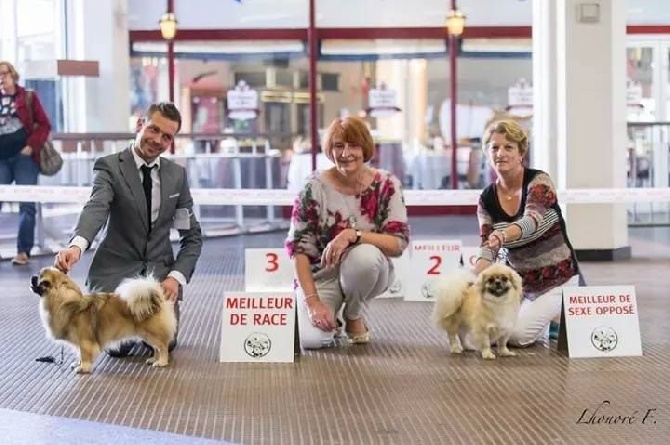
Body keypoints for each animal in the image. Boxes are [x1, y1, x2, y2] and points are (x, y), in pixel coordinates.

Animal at [30, 268, 177, 372]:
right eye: (37, 275)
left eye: (43, 281)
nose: (32, 277)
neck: (67, 304)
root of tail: (157, 298)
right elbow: (79, 355)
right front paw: (78, 364)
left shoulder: (85, 341)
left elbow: (84, 356)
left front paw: (83, 368)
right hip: (147, 335)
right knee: (157, 348)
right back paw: (153, 359)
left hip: (151, 334)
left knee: (162, 347)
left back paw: (161, 362)